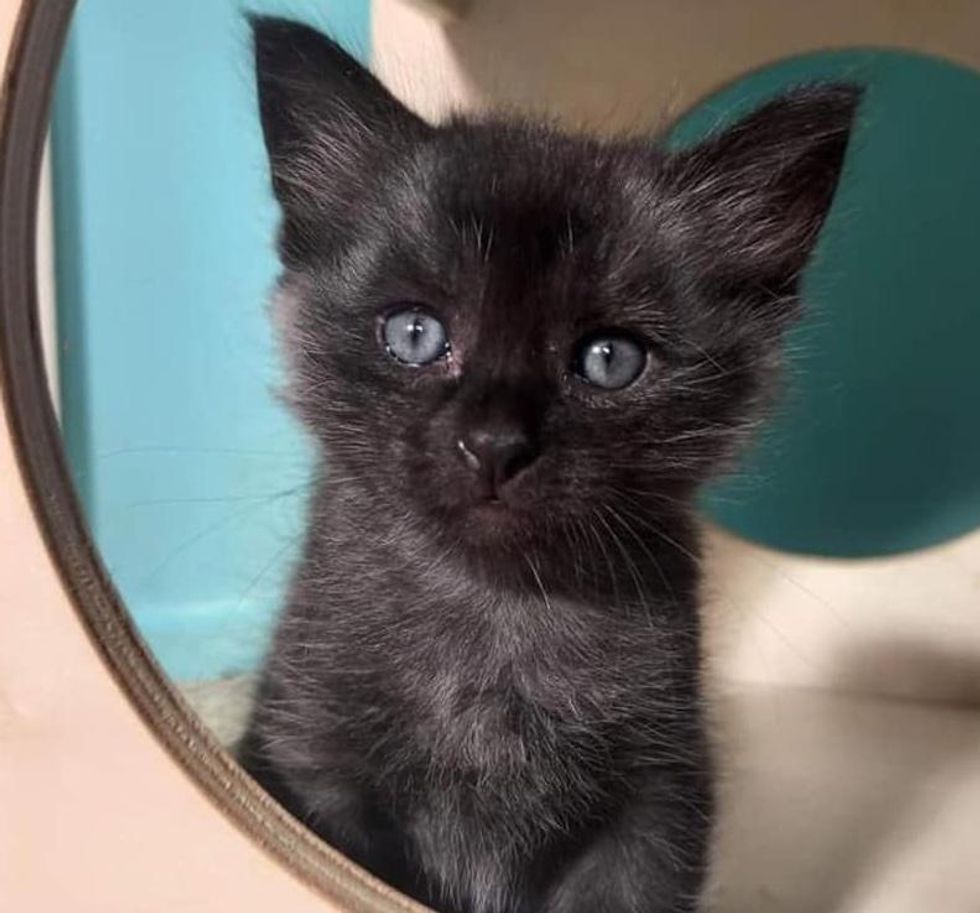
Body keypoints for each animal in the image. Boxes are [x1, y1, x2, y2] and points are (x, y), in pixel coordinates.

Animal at [241, 16, 860, 912]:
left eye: (609, 359)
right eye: (415, 334)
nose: (496, 442)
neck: (495, 617)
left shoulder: (656, 805)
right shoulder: (310, 762)